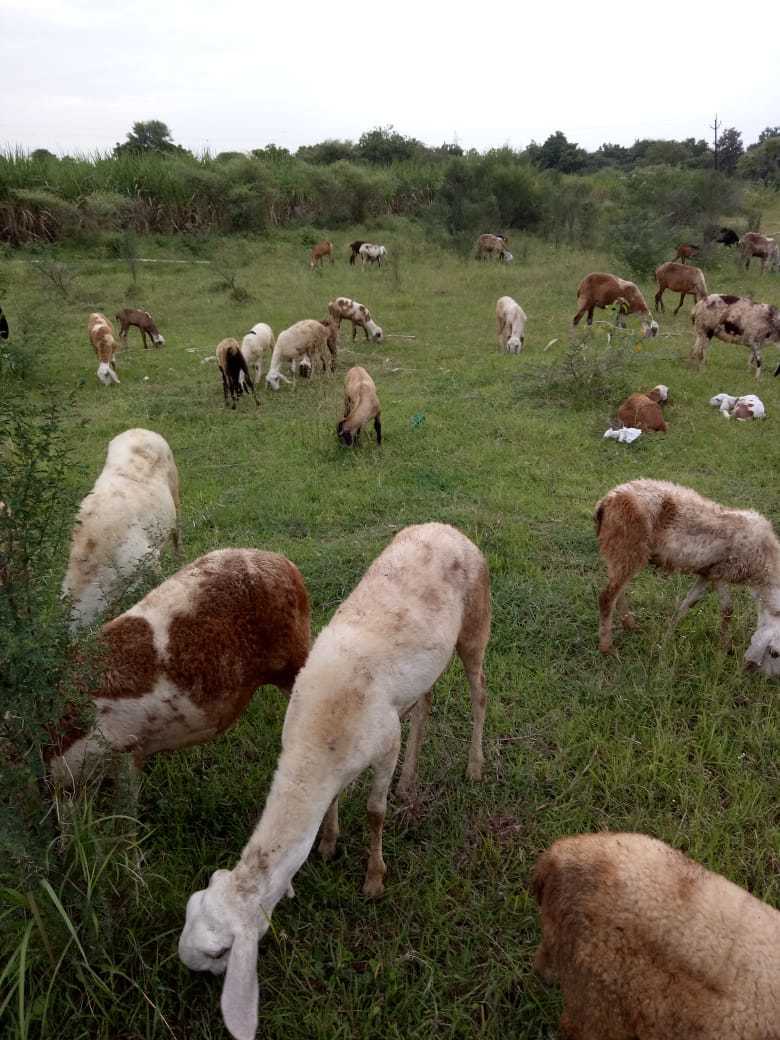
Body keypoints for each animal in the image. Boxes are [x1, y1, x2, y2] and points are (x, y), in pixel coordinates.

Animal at [178, 523, 491, 1040]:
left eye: (221, 952)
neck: (316, 750)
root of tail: (447, 528)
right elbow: (331, 805)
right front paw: (327, 843)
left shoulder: (384, 745)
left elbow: (375, 813)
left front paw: (374, 879)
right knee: (425, 703)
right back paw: (410, 781)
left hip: (476, 624)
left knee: (479, 693)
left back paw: (475, 767)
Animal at [594, 478, 780, 674]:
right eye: (774, 653)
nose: (756, 673)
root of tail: (606, 501)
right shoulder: (721, 571)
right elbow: (727, 610)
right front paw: (723, 649)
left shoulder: (708, 573)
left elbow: (690, 604)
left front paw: (668, 635)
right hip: (627, 548)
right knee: (607, 598)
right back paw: (607, 647)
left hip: (622, 553)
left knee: (617, 593)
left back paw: (630, 625)